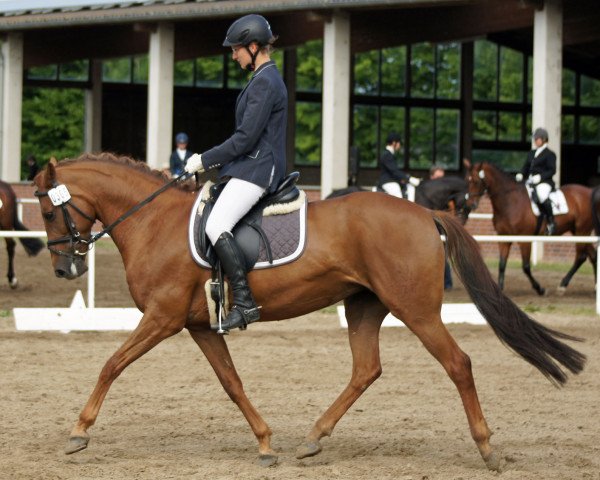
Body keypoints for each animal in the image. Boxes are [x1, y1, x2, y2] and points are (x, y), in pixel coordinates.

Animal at [464, 159, 596, 294]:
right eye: (467, 180)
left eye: (476, 181)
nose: (469, 205)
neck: (510, 201)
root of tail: (589, 191)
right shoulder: (503, 238)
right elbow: (502, 264)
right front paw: (500, 290)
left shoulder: (524, 239)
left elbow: (526, 266)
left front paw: (540, 289)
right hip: (578, 231)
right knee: (592, 255)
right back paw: (594, 286)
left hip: (582, 230)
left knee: (581, 256)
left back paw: (562, 285)